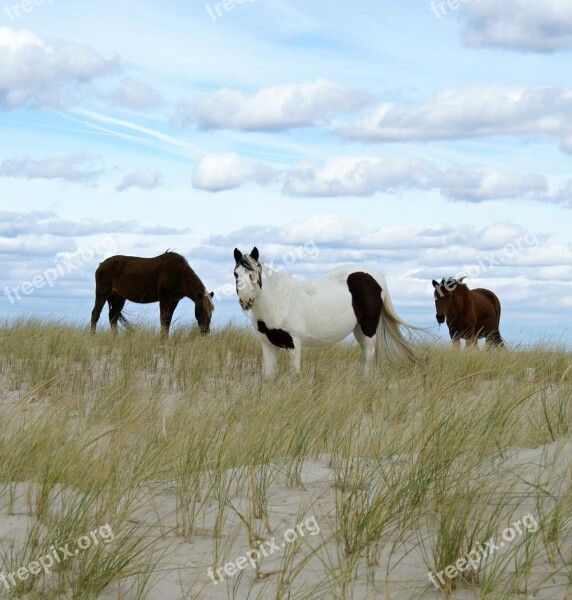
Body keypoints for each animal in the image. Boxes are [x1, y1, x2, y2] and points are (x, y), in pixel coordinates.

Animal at [232, 248, 416, 380]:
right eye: (236, 274)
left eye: (254, 274)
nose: (245, 301)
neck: (276, 300)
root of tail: (377, 276)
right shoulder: (268, 344)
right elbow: (269, 377)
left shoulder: (293, 343)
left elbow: (295, 376)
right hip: (357, 329)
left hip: (368, 327)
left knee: (368, 356)